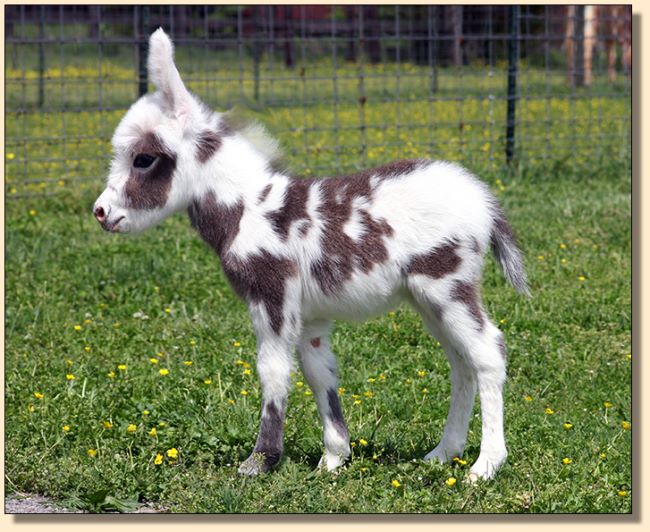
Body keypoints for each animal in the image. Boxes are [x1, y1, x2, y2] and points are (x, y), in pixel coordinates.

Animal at [92, 31, 528, 484]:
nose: (100, 212)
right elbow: (320, 374)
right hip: (427, 299)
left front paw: (260, 461)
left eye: (143, 159)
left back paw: (485, 465)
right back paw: (444, 453)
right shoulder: (310, 316)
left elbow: (272, 370)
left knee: (488, 352)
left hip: (447, 285)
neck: (249, 208)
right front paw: (334, 457)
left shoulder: (271, 299)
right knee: (461, 363)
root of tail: (483, 199)